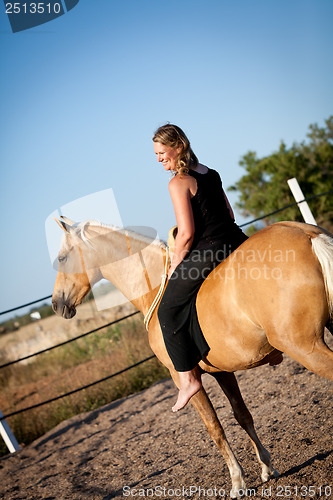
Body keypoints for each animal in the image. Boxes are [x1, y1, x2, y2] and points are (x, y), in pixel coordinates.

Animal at [52, 218, 332, 496]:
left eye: (62, 258)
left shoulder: (186, 378)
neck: (155, 288)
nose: (56, 304)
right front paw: (266, 468)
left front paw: (237, 482)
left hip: (304, 347)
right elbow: (242, 415)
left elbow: (214, 427)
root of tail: (306, 234)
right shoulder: (223, 372)